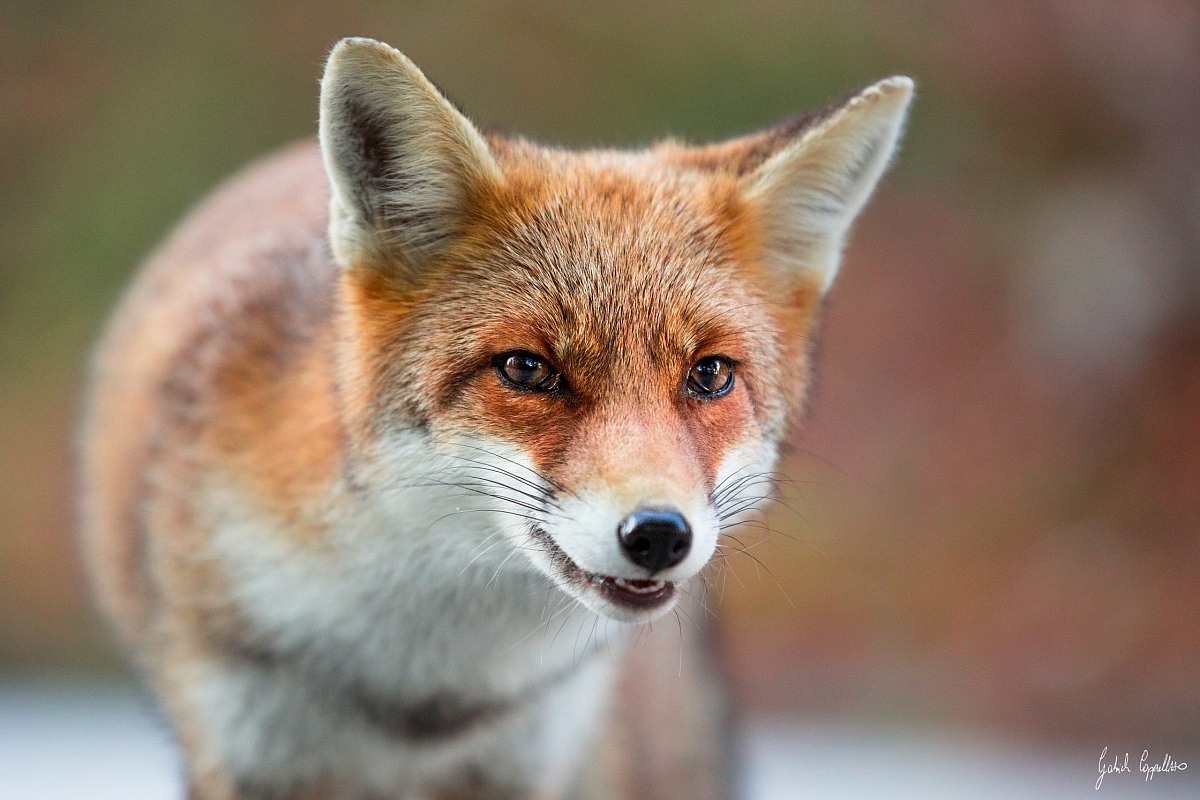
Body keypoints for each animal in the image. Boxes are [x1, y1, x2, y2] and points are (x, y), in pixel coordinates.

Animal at [77, 36, 911, 800]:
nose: (659, 536)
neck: (424, 693)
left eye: (709, 375)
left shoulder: (522, 757)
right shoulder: (245, 744)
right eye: (526, 369)